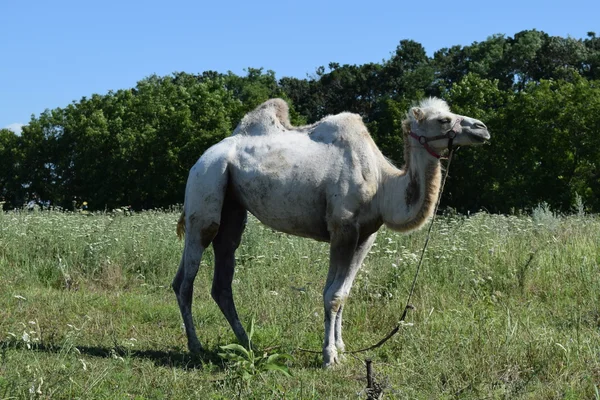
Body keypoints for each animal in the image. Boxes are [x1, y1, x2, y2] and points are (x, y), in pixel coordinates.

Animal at [171, 97, 490, 366]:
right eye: (444, 120)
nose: (483, 129)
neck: (383, 185)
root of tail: (201, 159)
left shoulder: (366, 235)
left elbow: (342, 293)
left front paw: (342, 348)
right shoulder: (343, 227)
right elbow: (332, 295)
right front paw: (329, 356)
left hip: (233, 206)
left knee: (221, 274)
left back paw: (248, 344)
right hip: (206, 186)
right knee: (187, 278)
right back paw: (196, 347)